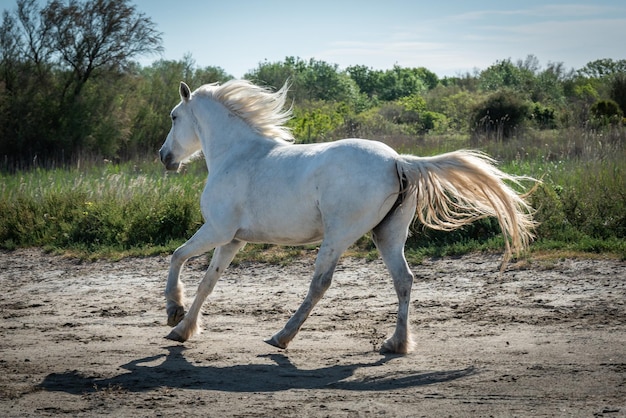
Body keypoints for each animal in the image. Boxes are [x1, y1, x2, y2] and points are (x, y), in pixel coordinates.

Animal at [158, 78, 532, 352]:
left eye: (174, 116)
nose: (164, 157)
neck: (238, 155)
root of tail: (398, 161)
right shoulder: (233, 240)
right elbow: (208, 283)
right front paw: (183, 329)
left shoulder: (218, 230)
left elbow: (177, 256)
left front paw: (173, 311)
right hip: (387, 236)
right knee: (404, 280)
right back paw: (396, 343)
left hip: (337, 237)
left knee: (320, 283)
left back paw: (282, 337)